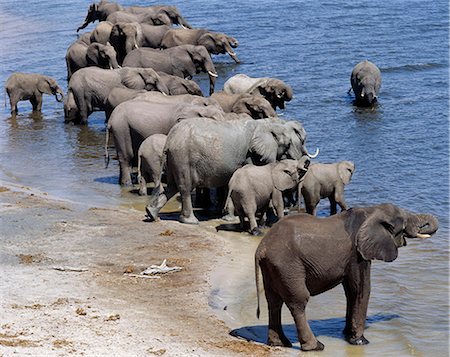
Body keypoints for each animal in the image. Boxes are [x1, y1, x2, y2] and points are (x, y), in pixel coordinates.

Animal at [146, 117, 318, 224]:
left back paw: (151, 213)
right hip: (183, 159)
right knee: (185, 188)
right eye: (288, 144)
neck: (264, 124)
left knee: (171, 187)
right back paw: (191, 221)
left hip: (174, 160)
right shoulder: (251, 154)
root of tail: (169, 140)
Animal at [255, 203, 438, 350]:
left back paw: (279, 343)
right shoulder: (357, 254)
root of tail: (261, 248)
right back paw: (316, 346)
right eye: (404, 220)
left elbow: (351, 291)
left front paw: (347, 335)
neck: (371, 211)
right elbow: (362, 289)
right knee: (298, 301)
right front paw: (360, 341)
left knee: (274, 301)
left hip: (273, 268)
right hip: (288, 266)